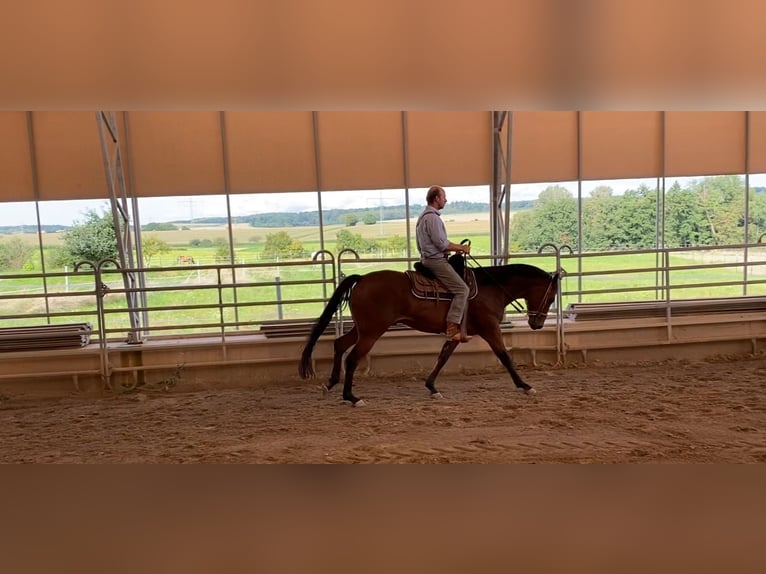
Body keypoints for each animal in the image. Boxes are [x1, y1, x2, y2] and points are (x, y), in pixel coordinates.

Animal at [298, 264, 560, 408]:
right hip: (372, 332)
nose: (537, 323)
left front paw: (432, 387)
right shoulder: (490, 329)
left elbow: (443, 357)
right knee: (352, 358)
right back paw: (352, 397)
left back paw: (330, 384)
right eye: (551, 297)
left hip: (362, 329)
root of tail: (362, 279)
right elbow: (505, 357)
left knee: (340, 344)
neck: (491, 287)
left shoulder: (456, 333)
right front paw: (525, 385)